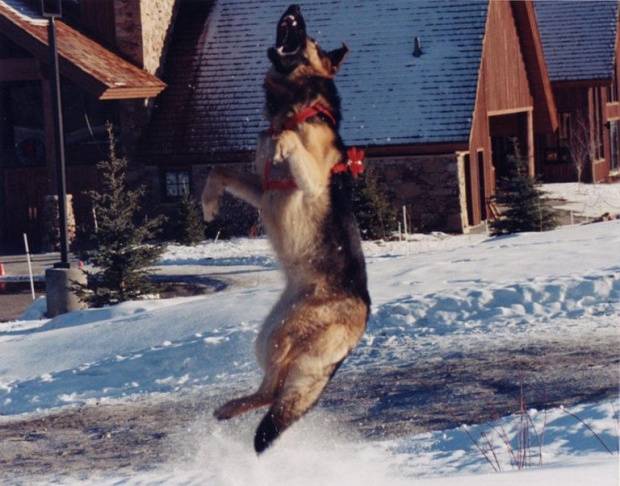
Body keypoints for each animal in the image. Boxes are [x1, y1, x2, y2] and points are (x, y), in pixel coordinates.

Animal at [202, 3, 368, 454]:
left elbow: (289, 142)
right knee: (270, 393)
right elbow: (217, 169)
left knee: (274, 393)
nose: (294, 8)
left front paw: (282, 141)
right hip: (270, 333)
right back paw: (228, 409)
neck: (296, 104)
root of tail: (363, 317)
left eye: (309, 39)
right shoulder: (262, 191)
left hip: (281, 336)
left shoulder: (308, 181)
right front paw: (208, 204)